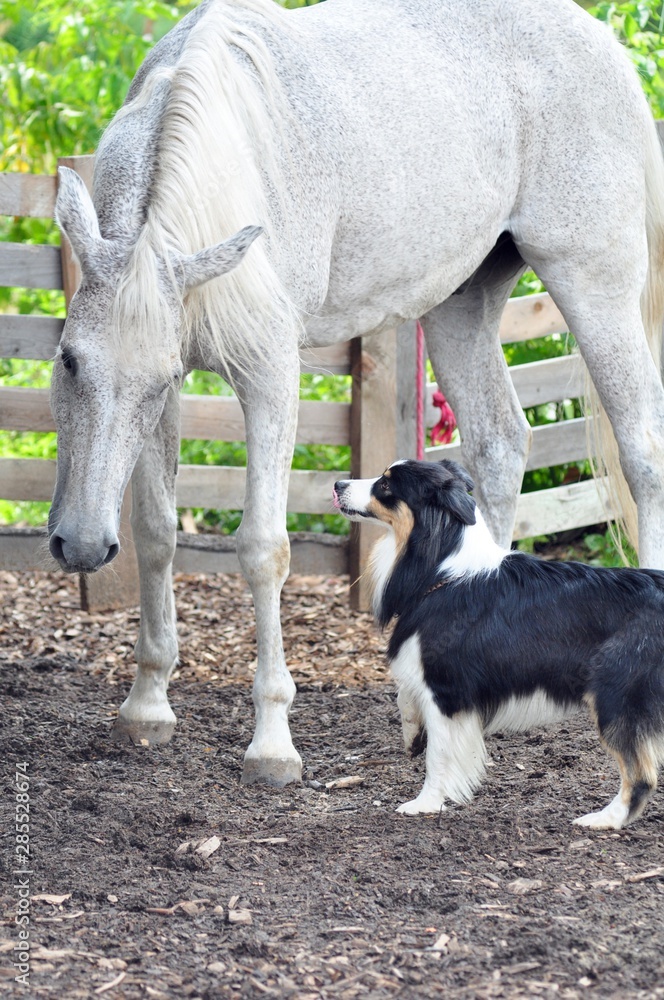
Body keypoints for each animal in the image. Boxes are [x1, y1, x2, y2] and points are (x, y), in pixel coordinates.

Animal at [49, 0, 664, 787]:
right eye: (68, 361)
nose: (79, 545)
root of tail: (603, 43)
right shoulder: (173, 386)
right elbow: (158, 532)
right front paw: (147, 706)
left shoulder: (265, 375)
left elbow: (263, 548)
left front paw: (272, 744)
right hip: (463, 300)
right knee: (500, 441)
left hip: (593, 282)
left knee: (641, 451)